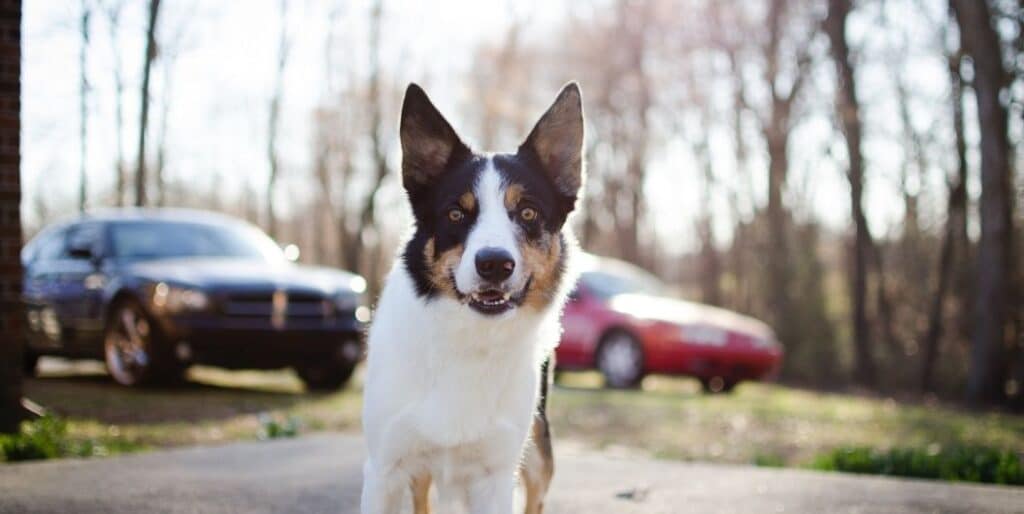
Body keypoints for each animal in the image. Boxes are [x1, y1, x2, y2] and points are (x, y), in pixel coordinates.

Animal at [360, 83, 585, 514]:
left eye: (527, 213)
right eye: (455, 214)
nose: (494, 264)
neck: (468, 337)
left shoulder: (495, 478)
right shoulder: (384, 470)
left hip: (539, 452)